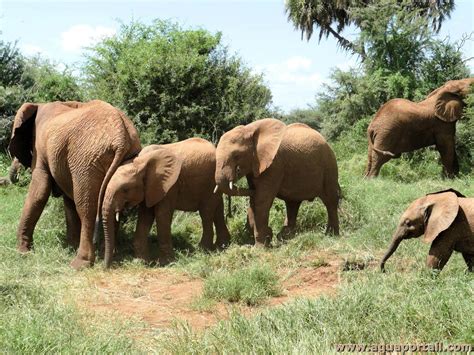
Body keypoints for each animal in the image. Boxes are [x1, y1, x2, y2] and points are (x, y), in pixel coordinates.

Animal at [8, 100, 141, 270]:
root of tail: (121, 138)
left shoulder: (41, 149)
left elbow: (39, 192)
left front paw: (23, 253)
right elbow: (67, 200)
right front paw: (71, 246)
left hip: (86, 162)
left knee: (86, 208)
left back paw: (79, 263)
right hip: (119, 158)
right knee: (112, 204)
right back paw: (107, 254)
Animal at [102, 138, 231, 268]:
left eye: (125, 190)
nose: (107, 267)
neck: (142, 162)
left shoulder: (169, 186)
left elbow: (162, 214)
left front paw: (166, 263)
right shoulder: (150, 188)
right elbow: (145, 216)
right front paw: (141, 262)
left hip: (210, 183)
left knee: (206, 213)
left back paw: (204, 250)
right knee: (218, 210)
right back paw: (222, 246)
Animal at [215, 118, 340, 246]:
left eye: (236, 156)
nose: (270, 232)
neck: (249, 130)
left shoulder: (274, 165)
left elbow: (262, 200)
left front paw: (261, 246)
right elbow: (254, 200)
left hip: (329, 166)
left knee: (330, 200)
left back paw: (331, 235)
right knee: (292, 204)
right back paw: (285, 236)